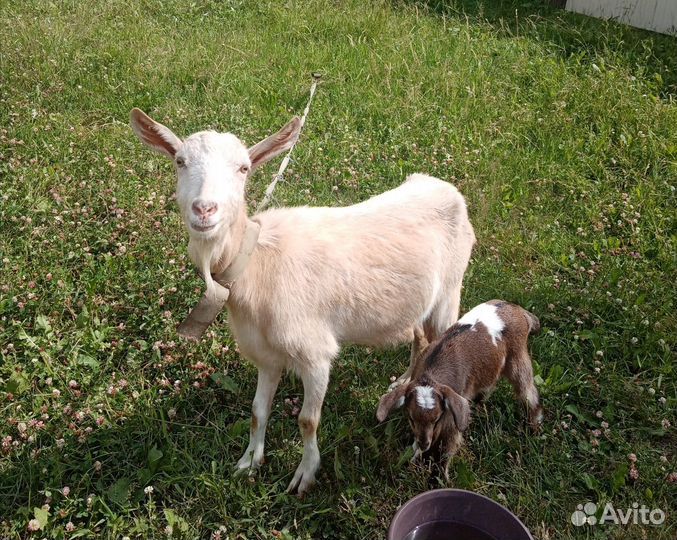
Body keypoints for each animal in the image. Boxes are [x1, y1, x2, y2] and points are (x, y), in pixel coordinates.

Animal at [130, 108, 476, 494]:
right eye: (179, 161)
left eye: (243, 168)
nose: (205, 209)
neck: (255, 264)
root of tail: (445, 187)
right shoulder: (266, 355)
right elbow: (257, 412)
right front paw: (249, 463)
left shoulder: (315, 353)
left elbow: (308, 420)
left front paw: (305, 475)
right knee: (420, 336)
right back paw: (404, 382)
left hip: (450, 289)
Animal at [376, 300, 542, 478]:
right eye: (411, 418)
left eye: (437, 418)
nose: (424, 443)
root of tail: (518, 309)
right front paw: (416, 457)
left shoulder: (452, 414)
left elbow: (447, 447)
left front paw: (438, 477)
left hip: (518, 359)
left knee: (528, 391)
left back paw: (534, 426)